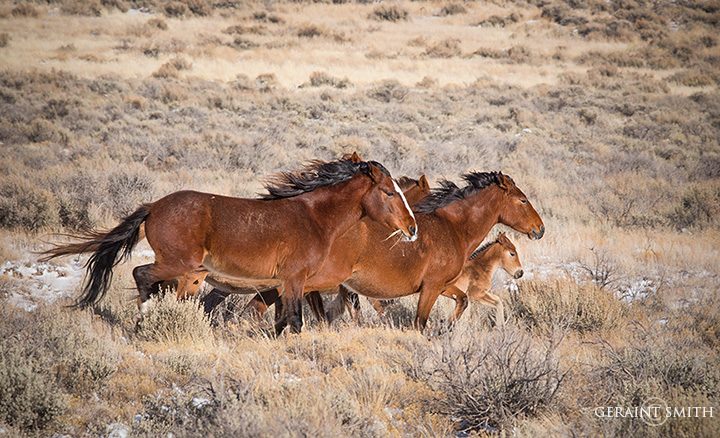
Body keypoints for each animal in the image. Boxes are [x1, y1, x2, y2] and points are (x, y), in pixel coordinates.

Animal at [42, 156, 420, 334]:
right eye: (389, 192)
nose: (412, 228)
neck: (313, 217)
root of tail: (154, 206)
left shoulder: (284, 284)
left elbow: (283, 321)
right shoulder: (294, 280)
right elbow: (295, 322)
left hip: (189, 274)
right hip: (177, 264)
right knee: (141, 274)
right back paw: (144, 321)